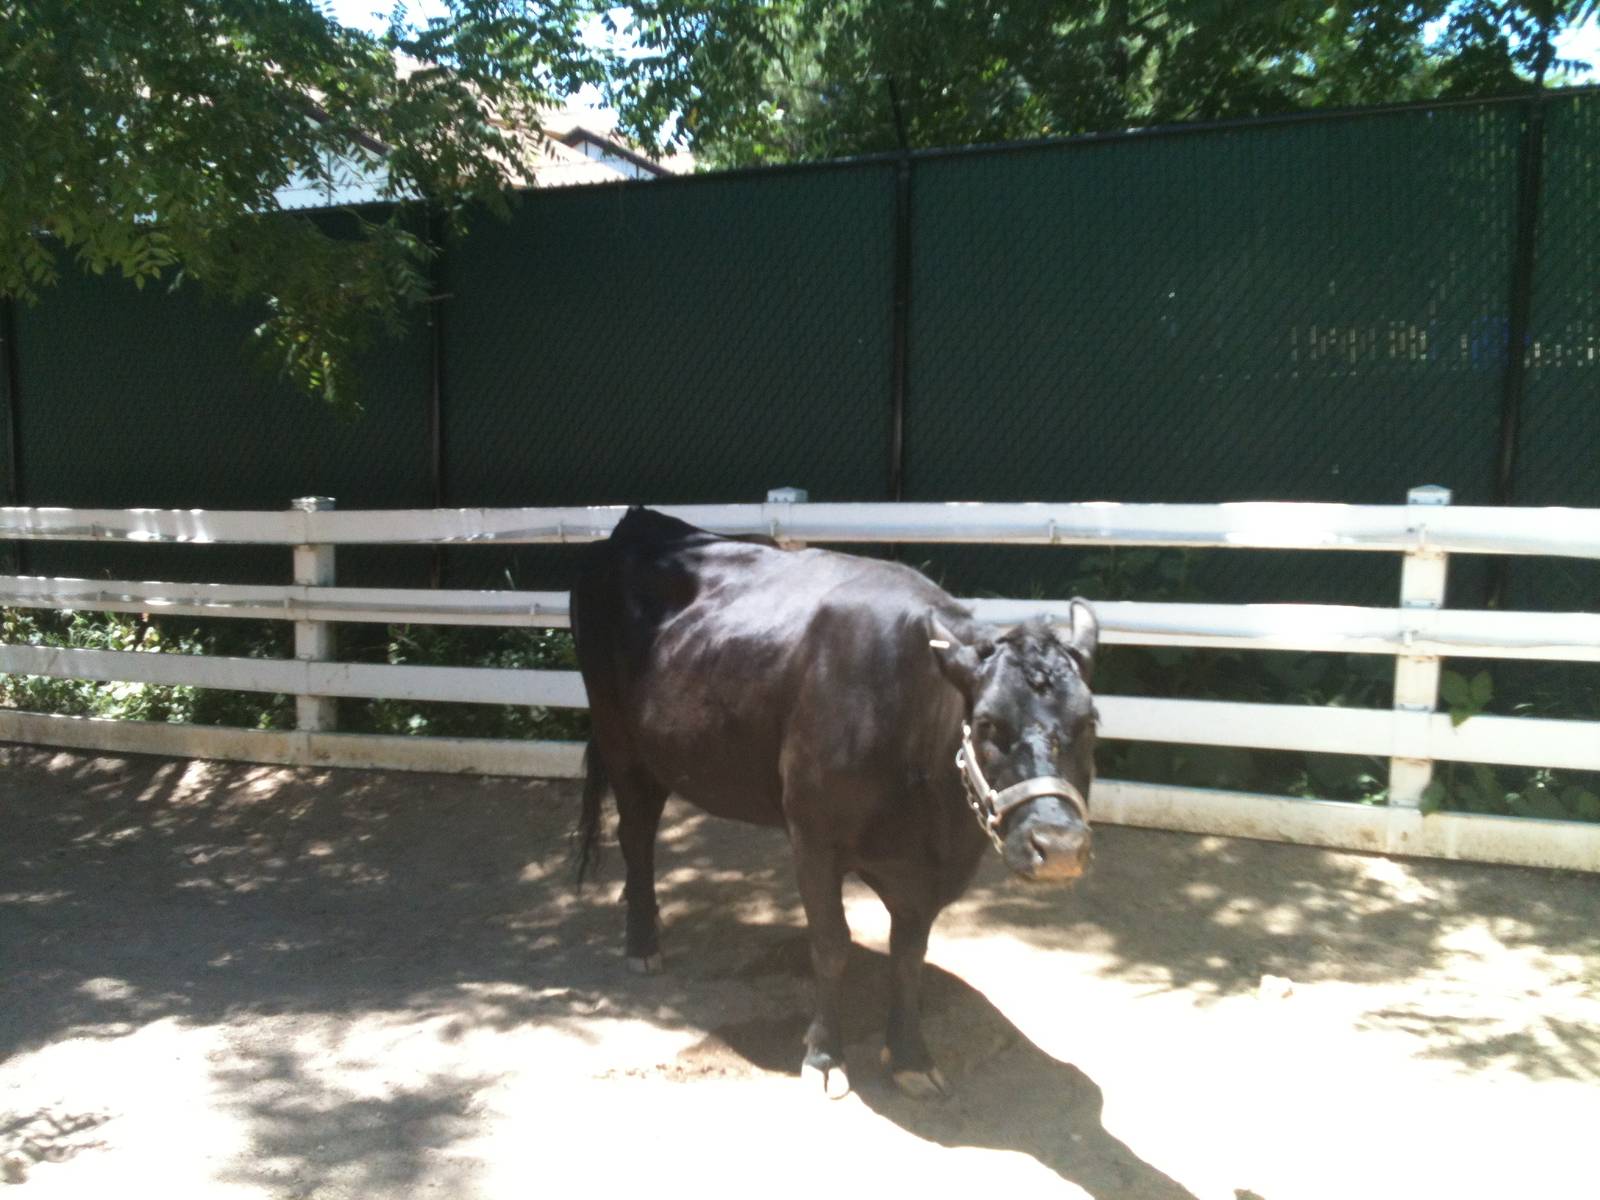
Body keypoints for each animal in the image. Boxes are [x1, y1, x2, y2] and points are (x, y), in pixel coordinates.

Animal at [571, 507, 1098, 1099]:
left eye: (1090, 721)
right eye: (987, 723)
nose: (1059, 847)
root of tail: (638, 521)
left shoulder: (924, 874)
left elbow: (908, 957)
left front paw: (911, 1056)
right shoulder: (813, 838)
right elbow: (831, 944)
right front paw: (824, 1055)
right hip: (619, 740)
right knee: (635, 837)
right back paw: (642, 943)